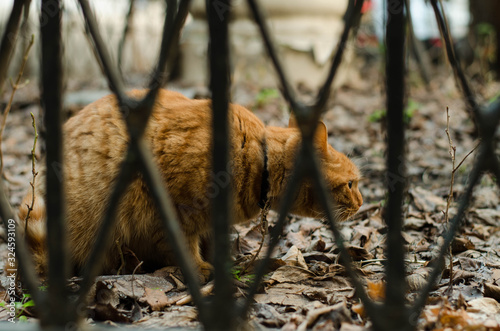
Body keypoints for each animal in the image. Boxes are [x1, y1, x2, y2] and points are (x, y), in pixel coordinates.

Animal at [17, 89, 362, 278]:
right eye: (351, 184)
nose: (362, 203)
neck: (257, 159)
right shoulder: (173, 211)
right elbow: (183, 246)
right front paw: (201, 269)